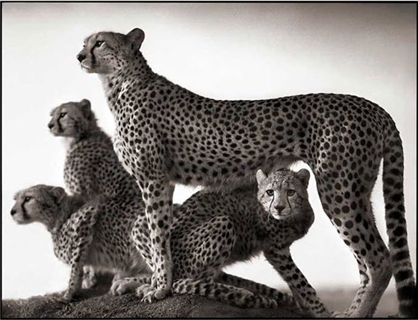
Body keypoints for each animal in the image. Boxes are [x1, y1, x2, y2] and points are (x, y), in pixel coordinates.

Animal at [10, 184, 152, 302]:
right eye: (15, 199)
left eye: (28, 198)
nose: (12, 211)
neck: (61, 216)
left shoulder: (87, 216)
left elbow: (75, 266)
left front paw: (69, 292)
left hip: (139, 226)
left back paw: (136, 285)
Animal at [113, 169, 326, 316]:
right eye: (270, 192)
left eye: (290, 192)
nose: (279, 207)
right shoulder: (276, 250)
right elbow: (300, 280)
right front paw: (320, 310)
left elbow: (294, 282)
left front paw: (304, 307)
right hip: (223, 223)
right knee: (187, 282)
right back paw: (244, 294)